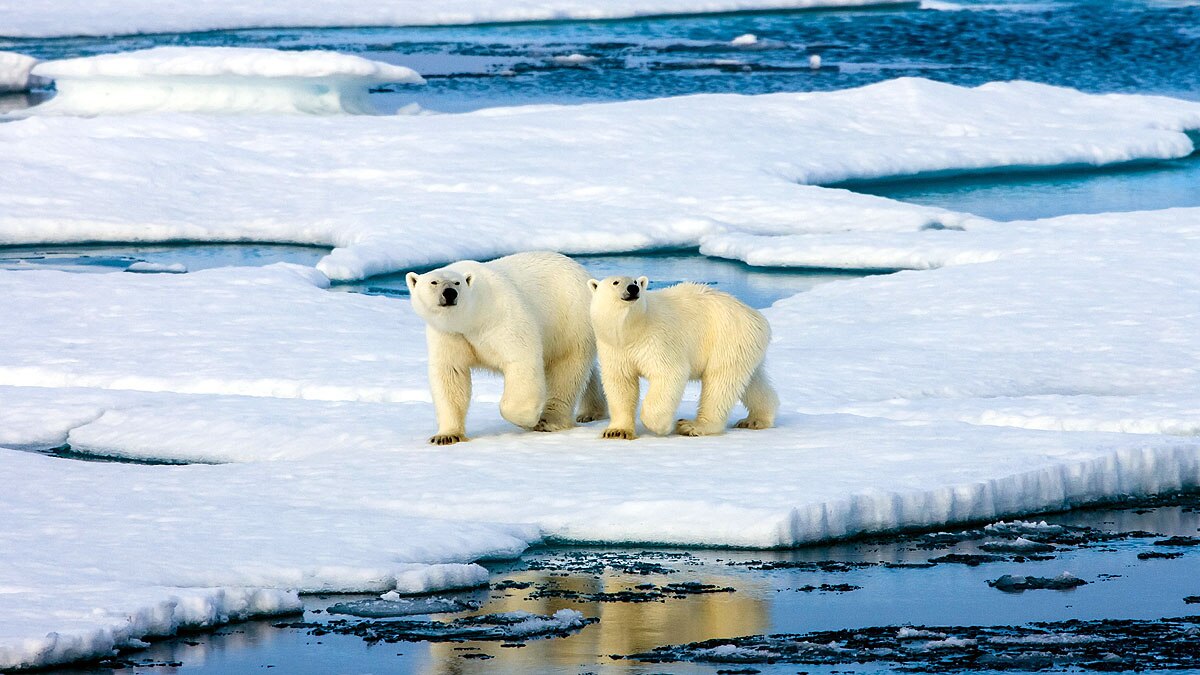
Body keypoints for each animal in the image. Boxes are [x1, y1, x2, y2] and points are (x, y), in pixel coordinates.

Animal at [408, 251, 607, 445]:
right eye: (434, 282)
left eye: (457, 282)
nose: (450, 293)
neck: (473, 317)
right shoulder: (449, 334)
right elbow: (450, 374)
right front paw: (446, 436)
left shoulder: (501, 317)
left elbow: (521, 359)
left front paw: (529, 420)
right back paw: (591, 412)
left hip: (570, 320)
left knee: (566, 369)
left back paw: (549, 420)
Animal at [588, 275, 778, 439]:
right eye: (616, 282)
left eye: (635, 281)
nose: (633, 289)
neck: (631, 330)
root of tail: (756, 316)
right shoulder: (614, 348)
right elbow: (620, 383)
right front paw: (617, 431)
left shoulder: (657, 339)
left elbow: (670, 373)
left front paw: (662, 426)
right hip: (744, 346)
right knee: (751, 381)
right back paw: (756, 419)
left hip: (727, 338)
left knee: (719, 383)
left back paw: (693, 426)